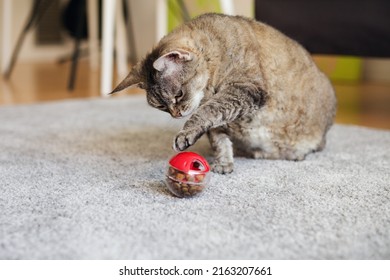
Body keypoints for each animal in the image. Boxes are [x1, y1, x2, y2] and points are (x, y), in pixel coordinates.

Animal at [109, 14, 336, 174]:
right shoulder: (221, 120)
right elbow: (219, 139)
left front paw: (185, 134)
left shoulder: (245, 89)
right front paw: (224, 163)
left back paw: (290, 153)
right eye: (161, 106)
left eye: (178, 94)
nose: (176, 114)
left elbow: (207, 112)